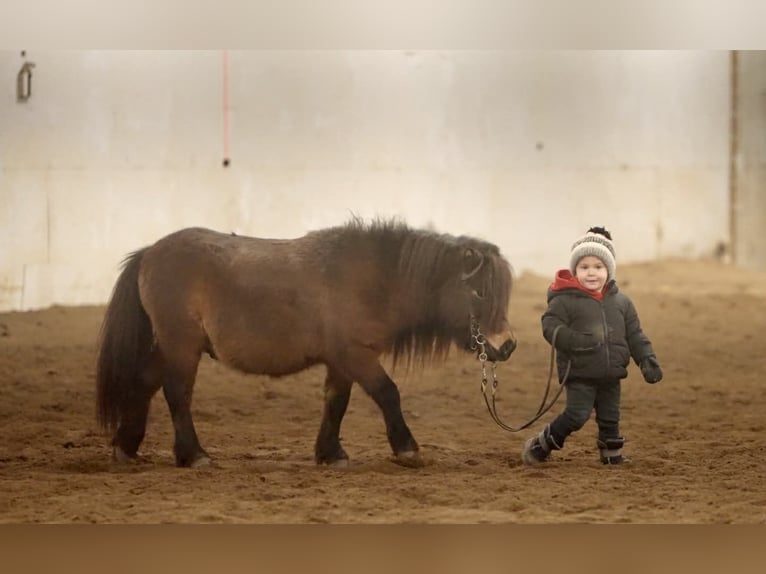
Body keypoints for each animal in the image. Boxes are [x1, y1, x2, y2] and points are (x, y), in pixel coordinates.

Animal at [96, 218, 516, 468]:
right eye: (479, 292)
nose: (507, 344)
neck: (372, 278)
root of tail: (149, 253)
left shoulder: (341, 361)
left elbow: (336, 403)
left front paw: (330, 454)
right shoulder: (356, 355)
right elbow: (387, 393)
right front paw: (406, 447)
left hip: (166, 346)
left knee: (144, 385)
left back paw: (126, 447)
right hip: (181, 346)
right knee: (177, 394)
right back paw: (193, 454)